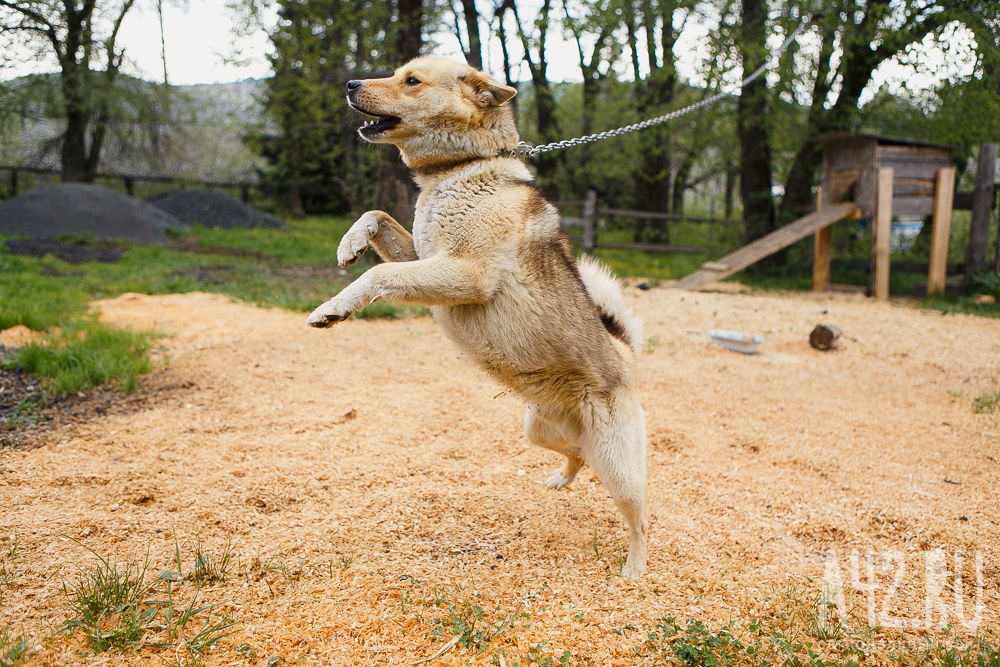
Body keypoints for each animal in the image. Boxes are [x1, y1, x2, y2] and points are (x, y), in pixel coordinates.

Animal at [304, 58, 648, 580]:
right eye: (399, 73)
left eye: (411, 81)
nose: (350, 83)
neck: (462, 169)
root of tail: (624, 354)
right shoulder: (425, 258)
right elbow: (376, 216)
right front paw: (351, 244)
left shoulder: (466, 275)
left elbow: (380, 273)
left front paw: (332, 308)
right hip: (539, 430)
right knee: (576, 456)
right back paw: (560, 480)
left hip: (618, 464)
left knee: (640, 517)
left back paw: (634, 572)